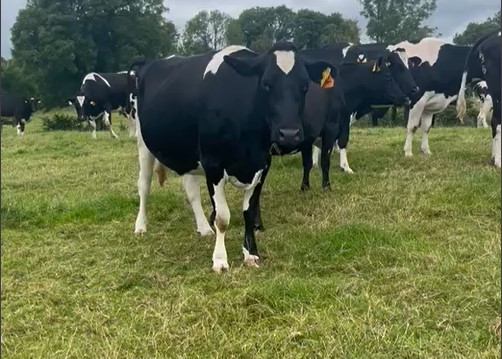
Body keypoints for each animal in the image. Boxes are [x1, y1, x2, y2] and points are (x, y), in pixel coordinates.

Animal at [128, 42, 338, 272]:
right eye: (266, 84)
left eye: (305, 86)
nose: (289, 133)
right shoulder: (213, 165)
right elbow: (222, 217)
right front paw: (220, 260)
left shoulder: (263, 164)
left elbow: (249, 212)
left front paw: (250, 253)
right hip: (143, 144)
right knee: (144, 185)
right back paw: (141, 226)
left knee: (191, 191)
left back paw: (204, 228)